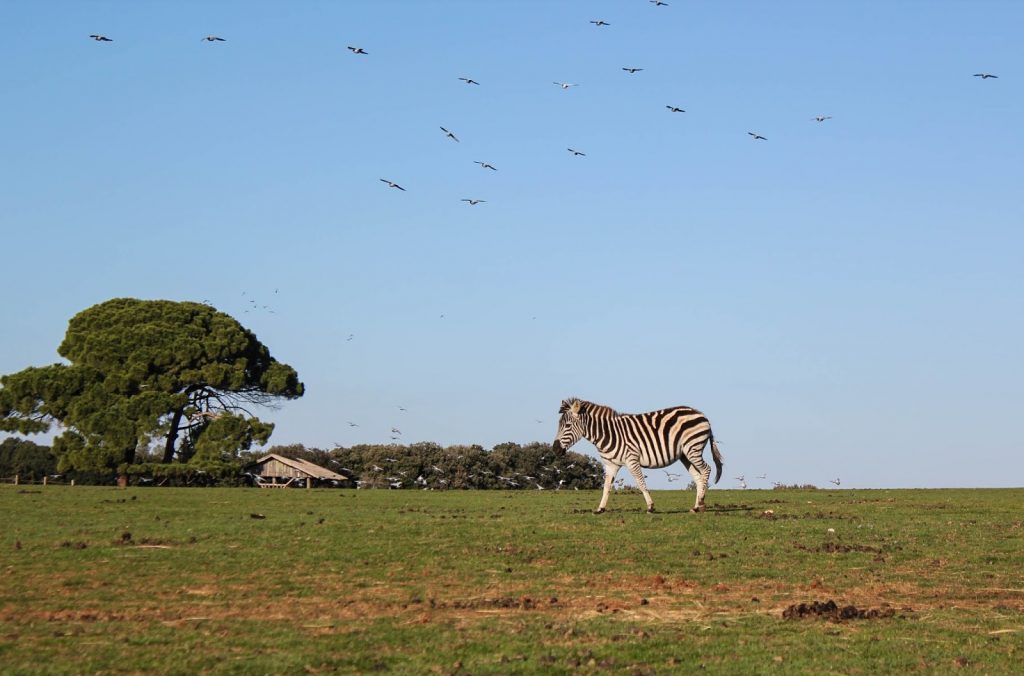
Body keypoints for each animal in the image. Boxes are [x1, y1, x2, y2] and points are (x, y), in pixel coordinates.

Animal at [552, 395, 720, 512]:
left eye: (567, 425)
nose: (554, 449)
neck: (608, 434)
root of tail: (701, 414)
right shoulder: (611, 465)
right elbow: (606, 487)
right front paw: (600, 509)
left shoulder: (631, 459)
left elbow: (640, 482)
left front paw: (651, 507)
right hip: (685, 455)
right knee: (698, 477)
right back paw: (696, 507)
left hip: (693, 448)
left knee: (706, 469)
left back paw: (701, 503)